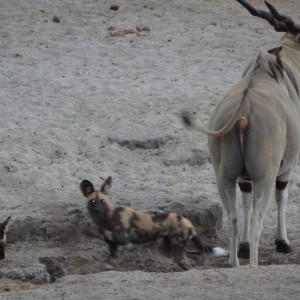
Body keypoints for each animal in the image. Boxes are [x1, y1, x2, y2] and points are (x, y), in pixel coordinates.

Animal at [79, 176, 227, 270]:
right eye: (92, 201)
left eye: (103, 201)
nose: (97, 210)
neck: (107, 218)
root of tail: (187, 220)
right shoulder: (112, 246)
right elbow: (109, 262)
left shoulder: (126, 244)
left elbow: (113, 262)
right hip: (167, 250)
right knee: (196, 255)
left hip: (175, 251)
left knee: (188, 262)